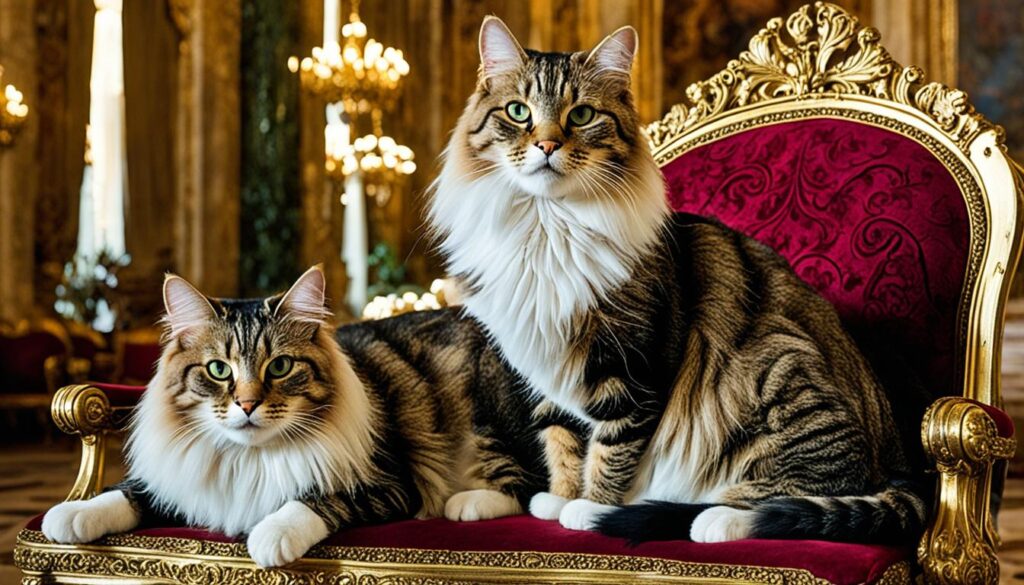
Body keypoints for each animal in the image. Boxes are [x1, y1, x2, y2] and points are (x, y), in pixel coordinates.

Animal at [41, 266, 544, 569]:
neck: (248, 459)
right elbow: (125, 493)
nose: (247, 405)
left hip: (489, 414)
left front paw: (270, 536)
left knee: (526, 484)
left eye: (279, 366)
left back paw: (469, 503)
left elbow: (314, 501)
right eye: (218, 370)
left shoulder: (390, 484)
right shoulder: (179, 482)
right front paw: (71, 515)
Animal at [425, 18, 929, 549]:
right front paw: (561, 497)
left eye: (581, 115)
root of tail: (901, 464)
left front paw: (589, 508)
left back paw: (713, 519)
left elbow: (610, 450)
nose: (546, 146)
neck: (546, 228)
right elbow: (562, 440)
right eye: (518, 112)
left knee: (801, 494)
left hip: (779, 370)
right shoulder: (545, 373)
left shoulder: (632, 372)